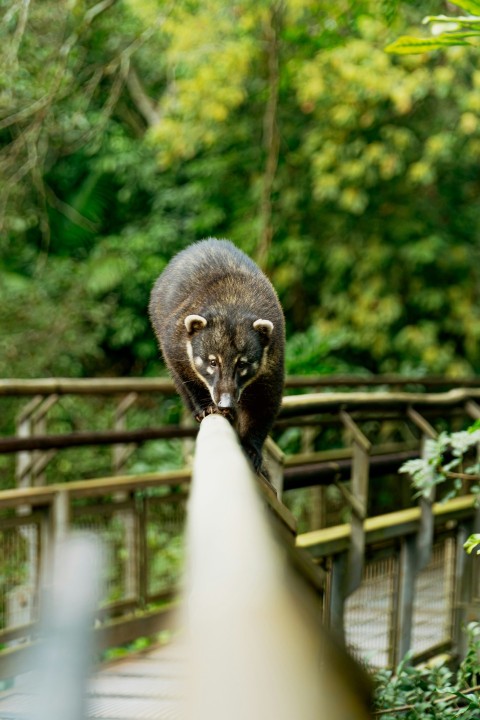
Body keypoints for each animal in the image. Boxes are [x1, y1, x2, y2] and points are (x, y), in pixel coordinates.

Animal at [149, 238, 284, 472]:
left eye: (242, 364)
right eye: (213, 362)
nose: (226, 403)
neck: (232, 305)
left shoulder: (274, 353)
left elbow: (265, 402)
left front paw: (252, 445)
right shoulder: (175, 341)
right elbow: (186, 375)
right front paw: (204, 406)